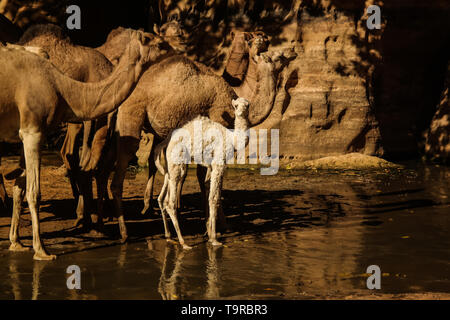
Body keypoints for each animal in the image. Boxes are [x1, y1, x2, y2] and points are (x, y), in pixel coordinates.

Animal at [153, 99, 248, 249]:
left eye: (247, 105)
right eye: (235, 105)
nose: (241, 112)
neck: (232, 139)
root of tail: (165, 142)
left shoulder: (211, 166)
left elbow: (210, 191)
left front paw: (209, 234)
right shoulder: (219, 163)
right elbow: (213, 199)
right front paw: (214, 239)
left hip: (170, 166)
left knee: (162, 198)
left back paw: (169, 236)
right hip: (177, 163)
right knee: (170, 202)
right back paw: (183, 242)